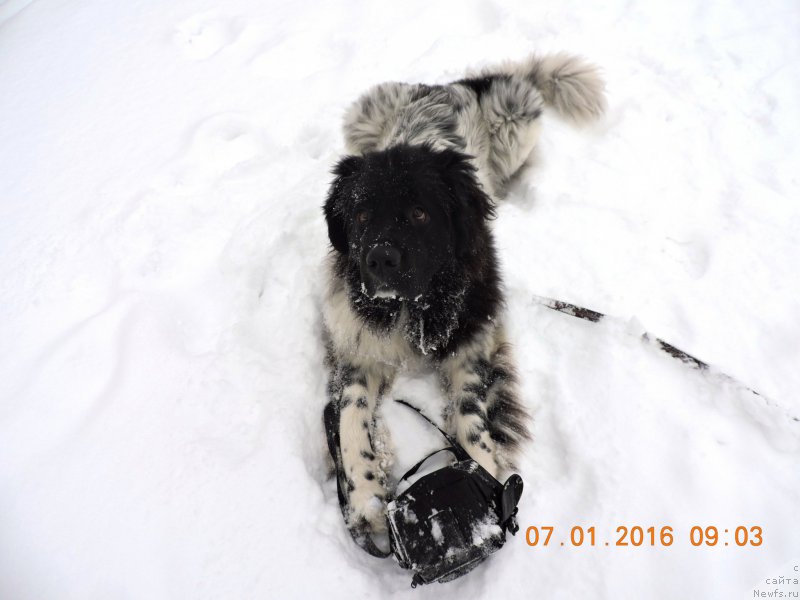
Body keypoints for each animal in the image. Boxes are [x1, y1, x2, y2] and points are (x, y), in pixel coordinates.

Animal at [322, 52, 604, 540]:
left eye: (419, 213)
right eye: (360, 215)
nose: (379, 259)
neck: (415, 306)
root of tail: (452, 85)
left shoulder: (473, 334)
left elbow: (471, 413)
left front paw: (487, 473)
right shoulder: (358, 344)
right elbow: (351, 415)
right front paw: (365, 495)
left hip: (515, 123)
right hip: (364, 114)